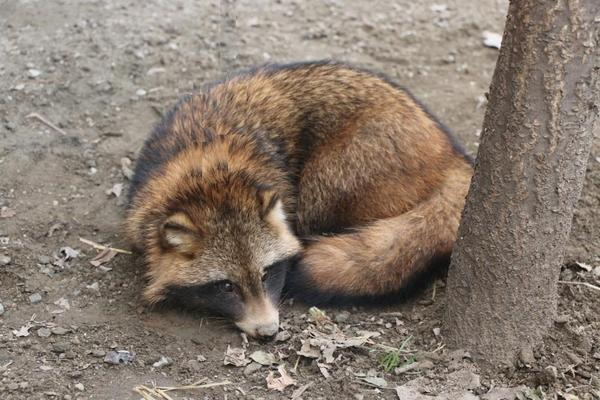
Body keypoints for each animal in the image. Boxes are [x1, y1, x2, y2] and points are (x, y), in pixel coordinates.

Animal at [125, 61, 474, 338]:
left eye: (267, 274)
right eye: (226, 286)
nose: (268, 332)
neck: (211, 176)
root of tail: (451, 154)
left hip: (337, 172)